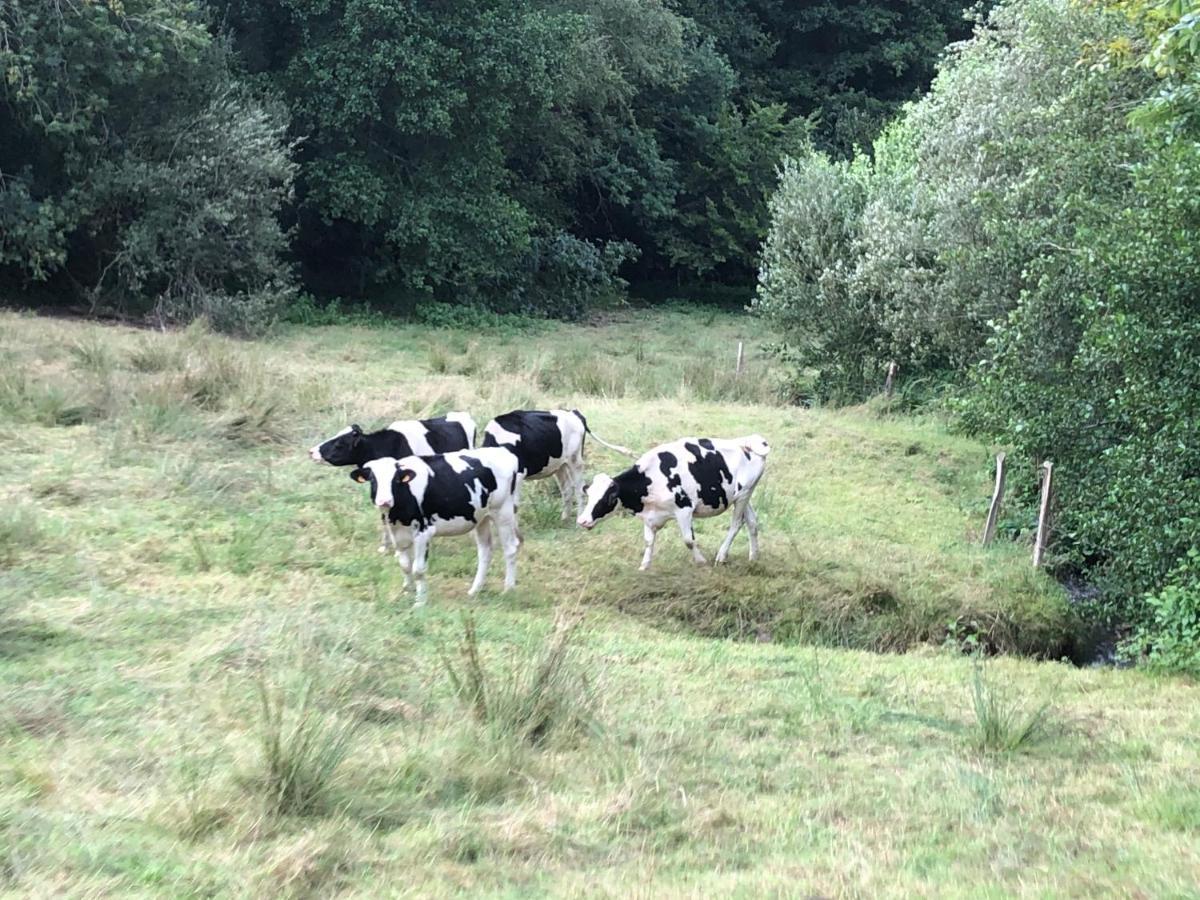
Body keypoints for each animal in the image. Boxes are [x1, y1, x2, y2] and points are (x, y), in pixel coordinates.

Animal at [345, 448, 518, 607]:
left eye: (395, 480)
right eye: (373, 479)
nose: (384, 501)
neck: (397, 515)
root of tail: (502, 450)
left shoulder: (423, 533)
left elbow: (418, 569)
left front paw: (420, 602)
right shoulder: (397, 533)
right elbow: (405, 565)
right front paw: (408, 590)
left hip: (503, 512)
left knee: (510, 549)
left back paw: (508, 589)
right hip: (481, 518)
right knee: (485, 552)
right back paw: (474, 590)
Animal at [578, 436, 768, 571]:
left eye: (608, 498)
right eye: (589, 495)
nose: (582, 520)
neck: (651, 479)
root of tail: (750, 441)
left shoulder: (684, 509)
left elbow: (688, 540)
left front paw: (701, 561)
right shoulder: (650, 516)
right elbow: (648, 542)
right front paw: (644, 566)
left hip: (743, 495)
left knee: (736, 523)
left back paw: (721, 556)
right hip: (742, 495)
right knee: (751, 522)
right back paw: (754, 557)